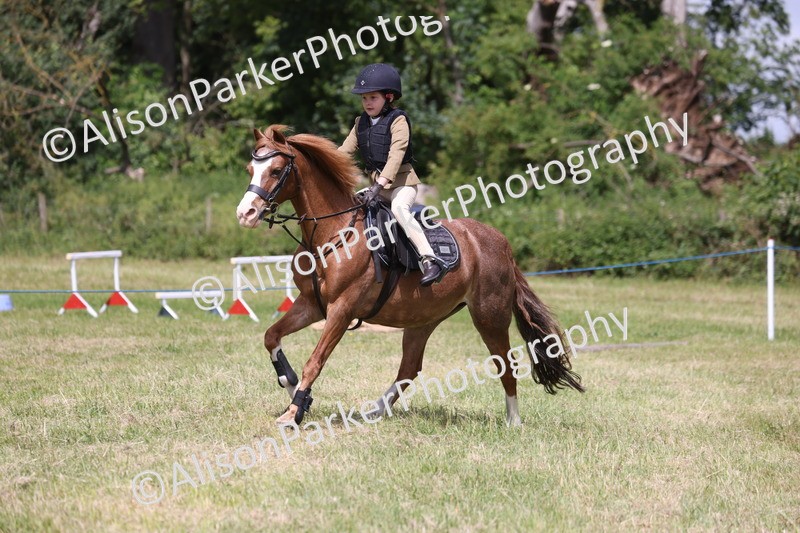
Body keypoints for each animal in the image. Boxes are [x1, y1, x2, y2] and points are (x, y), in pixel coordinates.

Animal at [235, 125, 584, 427]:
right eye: (251, 170)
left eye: (276, 171)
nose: (245, 214)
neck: (333, 233)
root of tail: (500, 242)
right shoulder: (311, 304)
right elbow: (271, 337)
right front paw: (293, 388)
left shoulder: (341, 310)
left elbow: (315, 361)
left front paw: (293, 411)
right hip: (423, 319)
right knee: (410, 368)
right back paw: (374, 411)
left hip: (489, 315)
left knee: (505, 365)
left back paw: (513, 421)